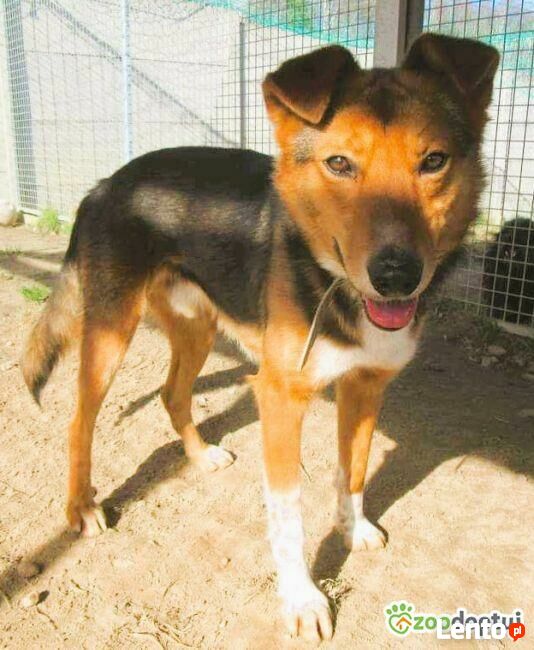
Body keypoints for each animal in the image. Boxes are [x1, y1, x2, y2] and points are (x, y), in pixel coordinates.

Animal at [22, 33, 499, 641]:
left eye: (433, 161)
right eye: (339, 164)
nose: (396, 276)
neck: (331, 282)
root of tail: (104, 185)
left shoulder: (366, 386)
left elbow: (355, 468)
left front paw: (352, 529)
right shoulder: (280, 398)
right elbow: (288, 514)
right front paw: (302, 600)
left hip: (198, 327)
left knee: (172, 393)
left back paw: (199, 457)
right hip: (110, 332)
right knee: (80, 419)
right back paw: (81, 506)